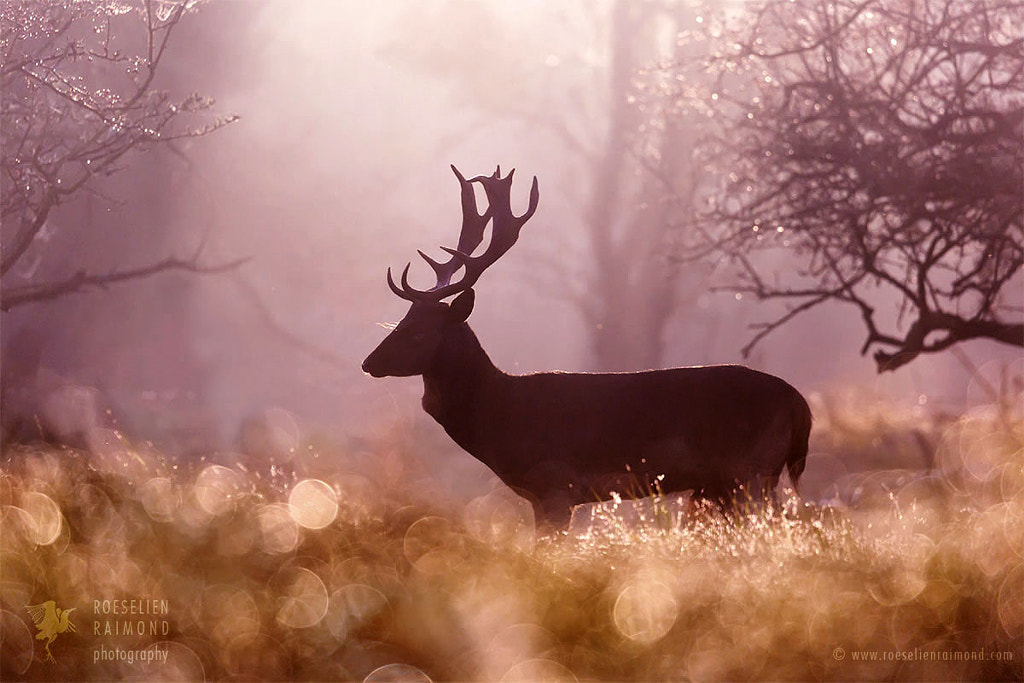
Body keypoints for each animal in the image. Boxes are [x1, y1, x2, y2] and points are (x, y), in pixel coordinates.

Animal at [360, 163, 806, 524]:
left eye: (419, 332)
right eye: (400, 321)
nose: (369, 363)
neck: (502, 418)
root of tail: (800, 404)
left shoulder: (557, 485)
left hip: (750, 471)